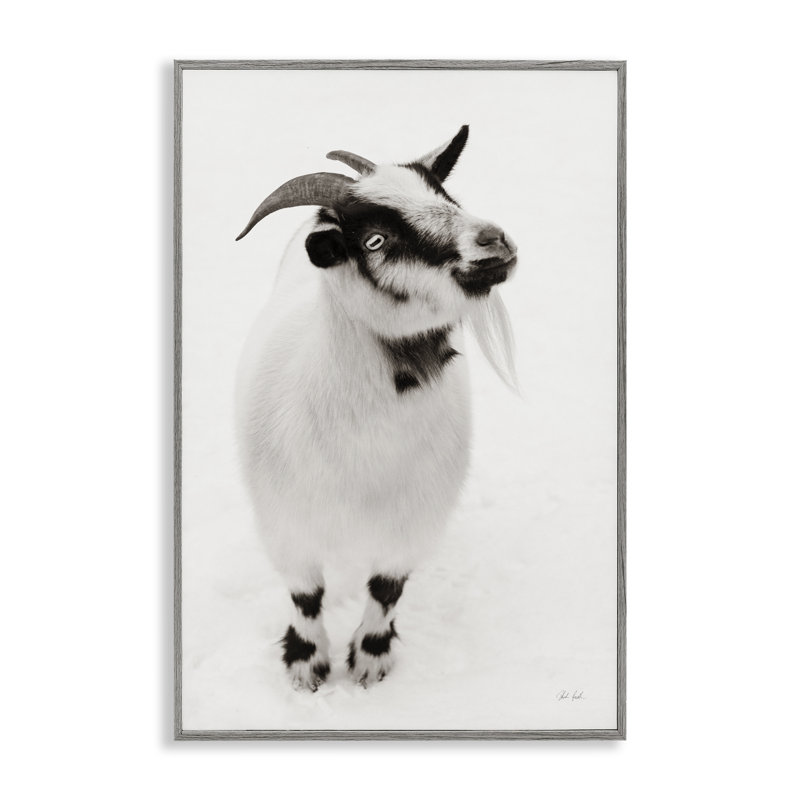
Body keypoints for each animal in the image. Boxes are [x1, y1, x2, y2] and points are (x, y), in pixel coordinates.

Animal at [235, 126, 517, 690]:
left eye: (447, 197)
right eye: (375, 240)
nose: (493, 241)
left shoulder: (415, 523)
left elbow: (386, 591)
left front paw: (369, 661)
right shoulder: (284, 525)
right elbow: (306, 596)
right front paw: (306, 666)